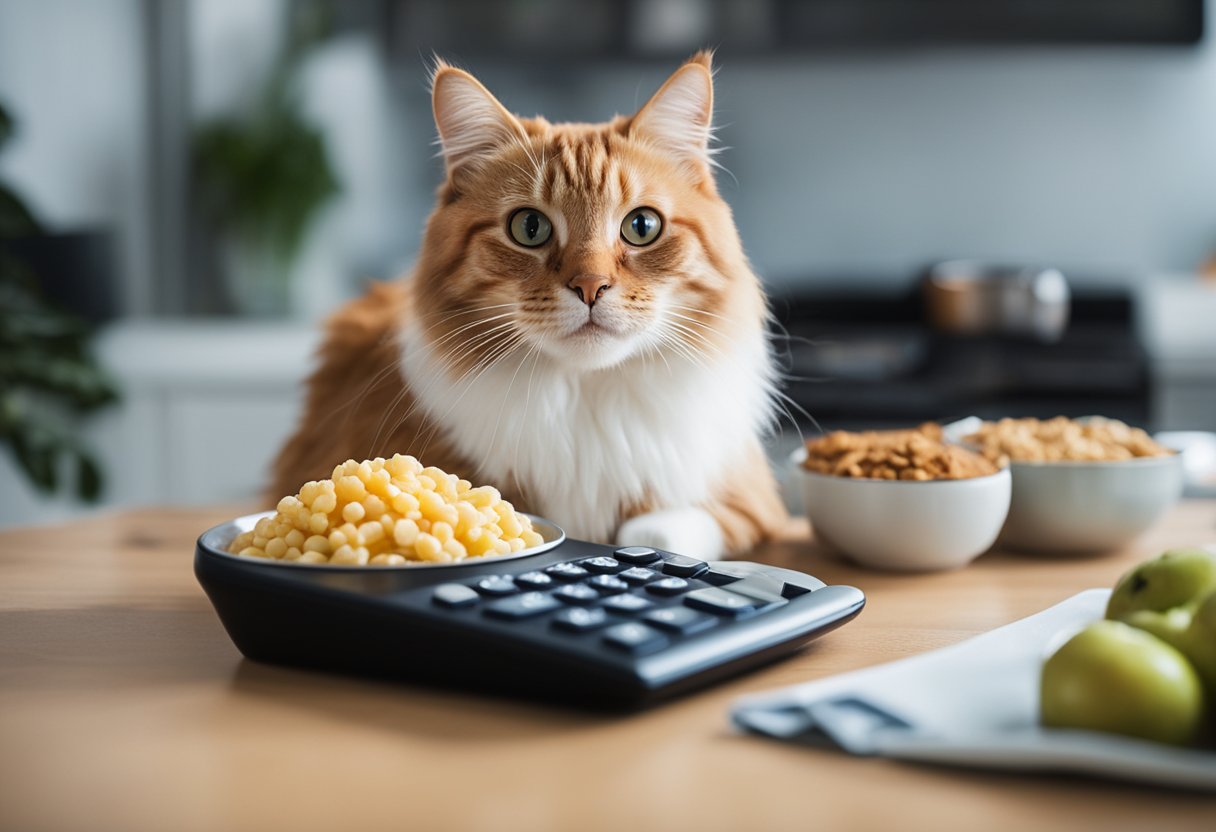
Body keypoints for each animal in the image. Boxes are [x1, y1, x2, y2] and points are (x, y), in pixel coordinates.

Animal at [268, 52, 787, 559]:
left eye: (642, 226)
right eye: (529, 228)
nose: (590, 286)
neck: (583, 399)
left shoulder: (750, 503)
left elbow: (654, 531)